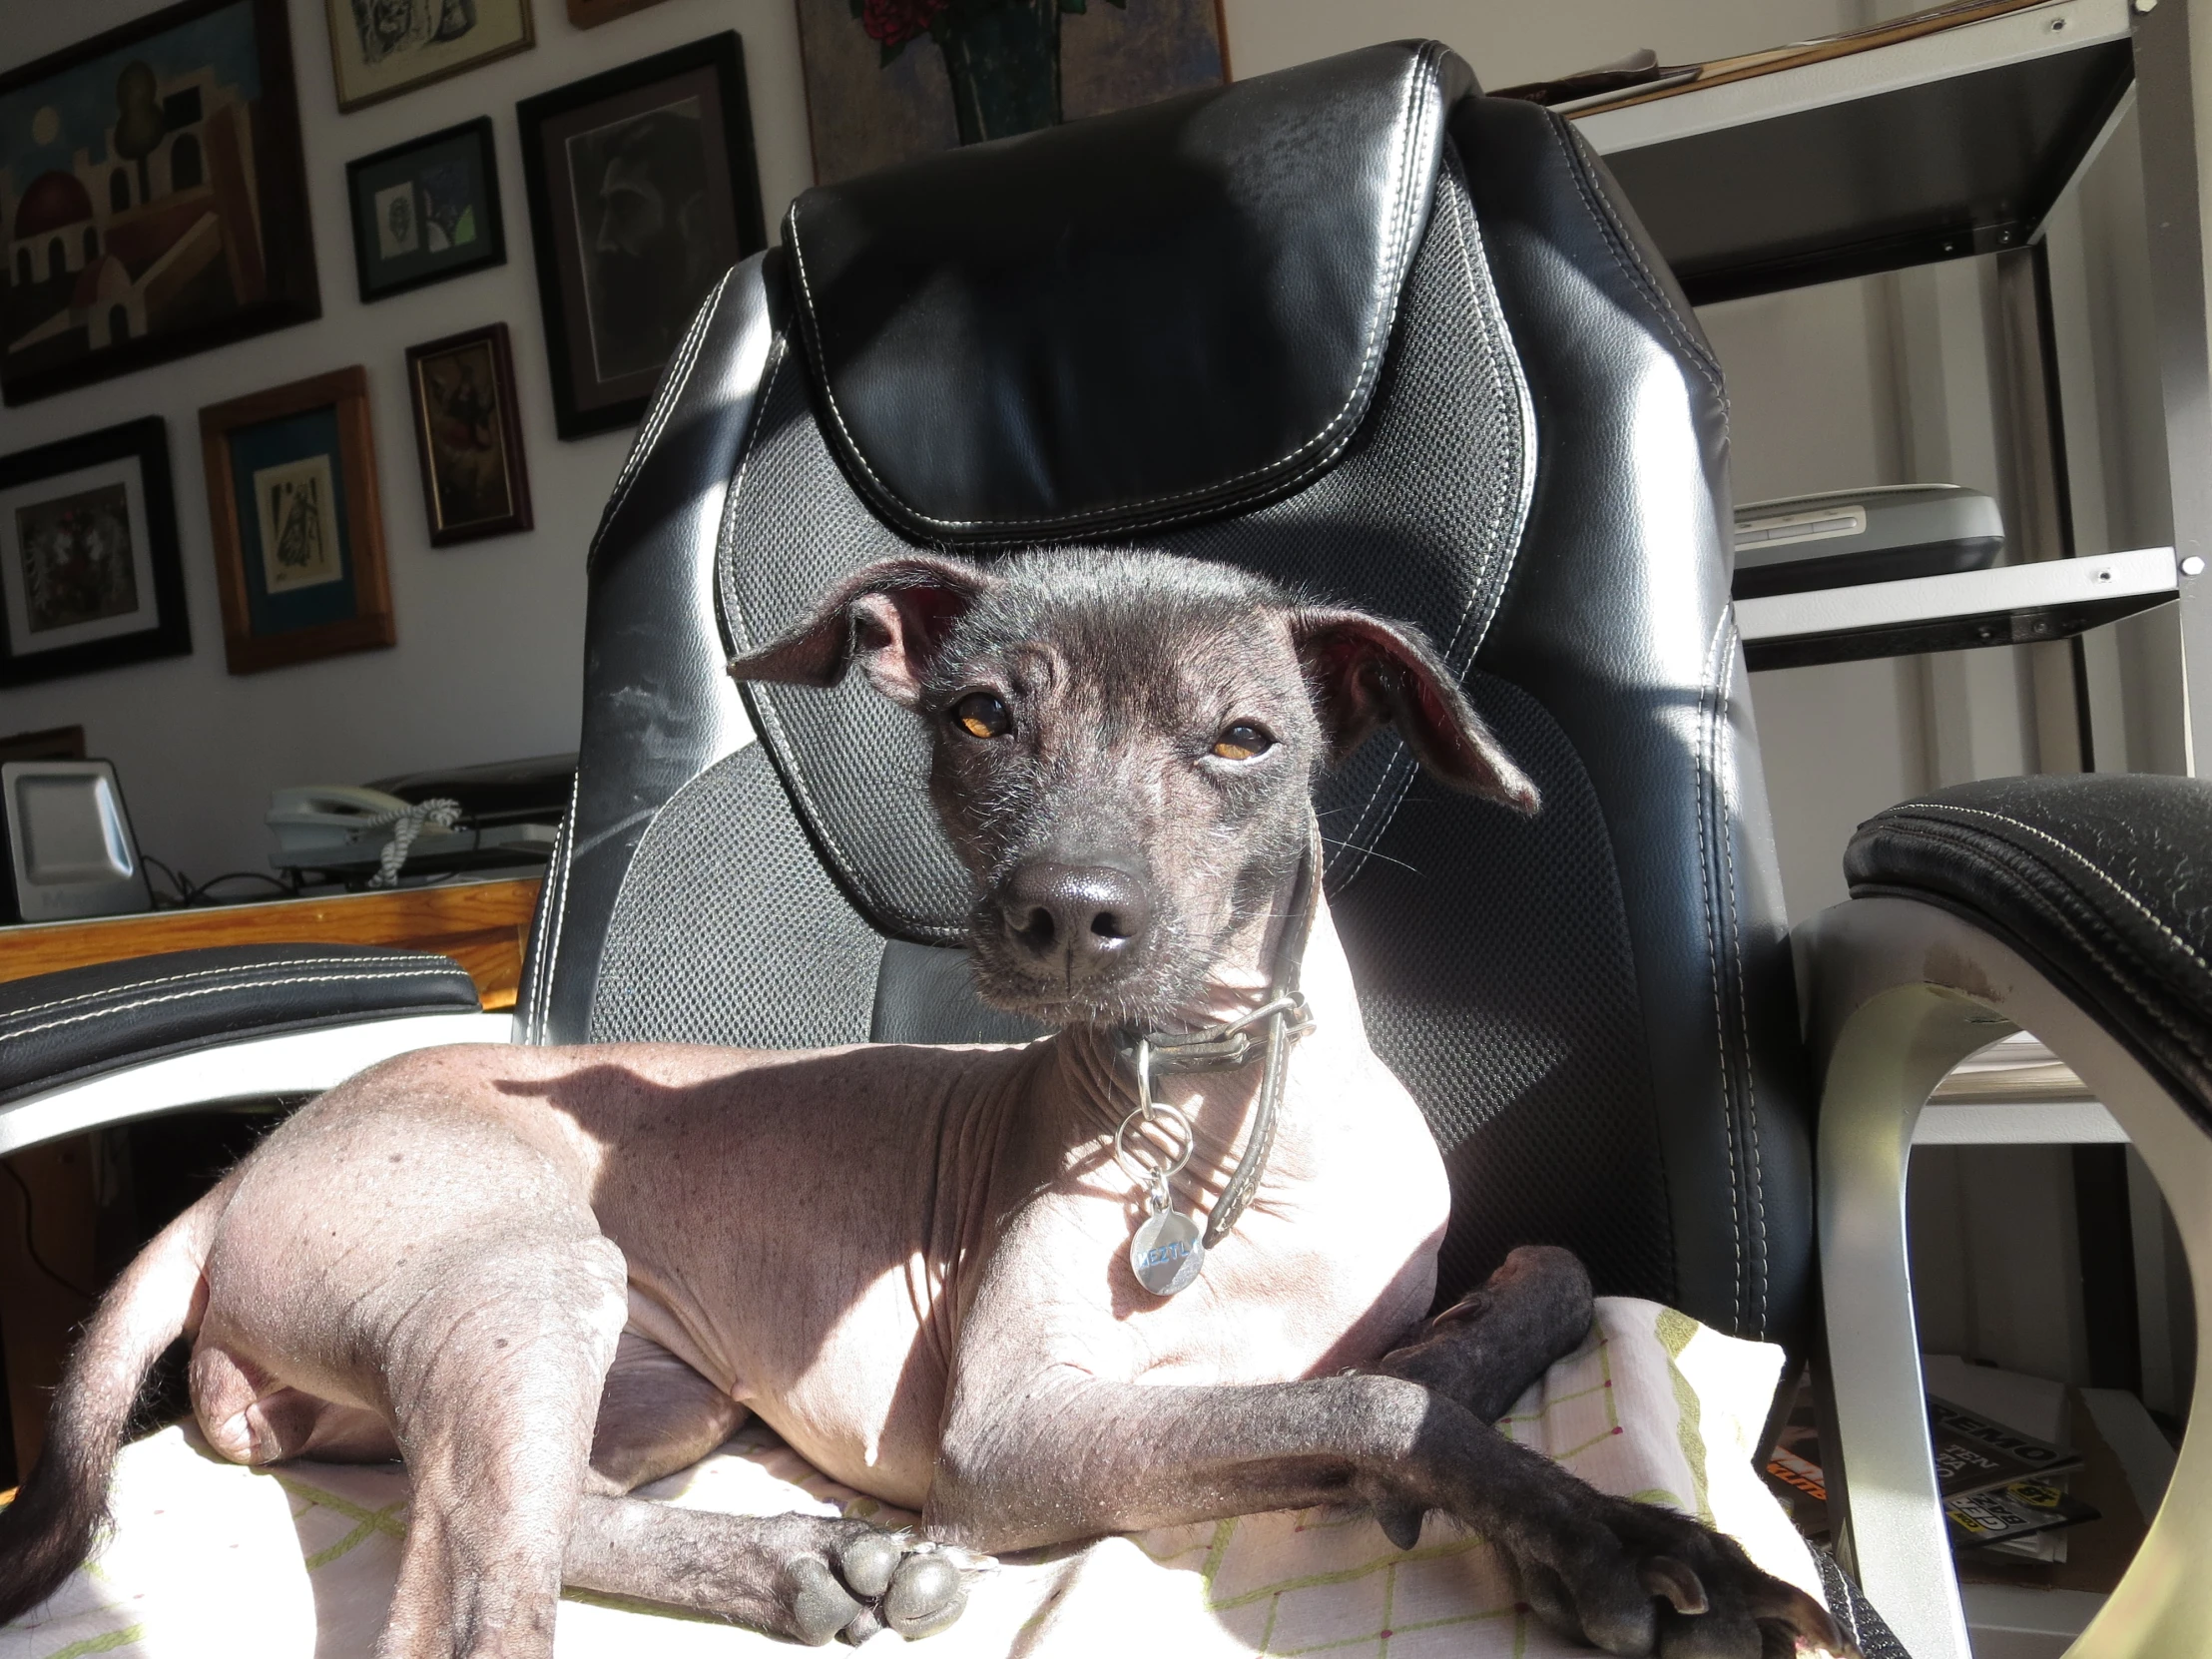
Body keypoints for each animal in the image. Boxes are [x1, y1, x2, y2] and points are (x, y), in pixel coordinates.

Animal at [0, 553, 1840, 1654]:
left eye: (1245, 739)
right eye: (981, 715)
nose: (1066, 913)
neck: (1227, 1124)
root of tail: (236, 1178)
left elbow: (1504, 1308)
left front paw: (1489, 1441)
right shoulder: (1006, 1433)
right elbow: (1377, 1404)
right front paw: (1603, 1535)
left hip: (655, 1393)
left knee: (519, 1502)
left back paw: (807, 1563)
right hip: (527, 1280)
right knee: (465, 1584)